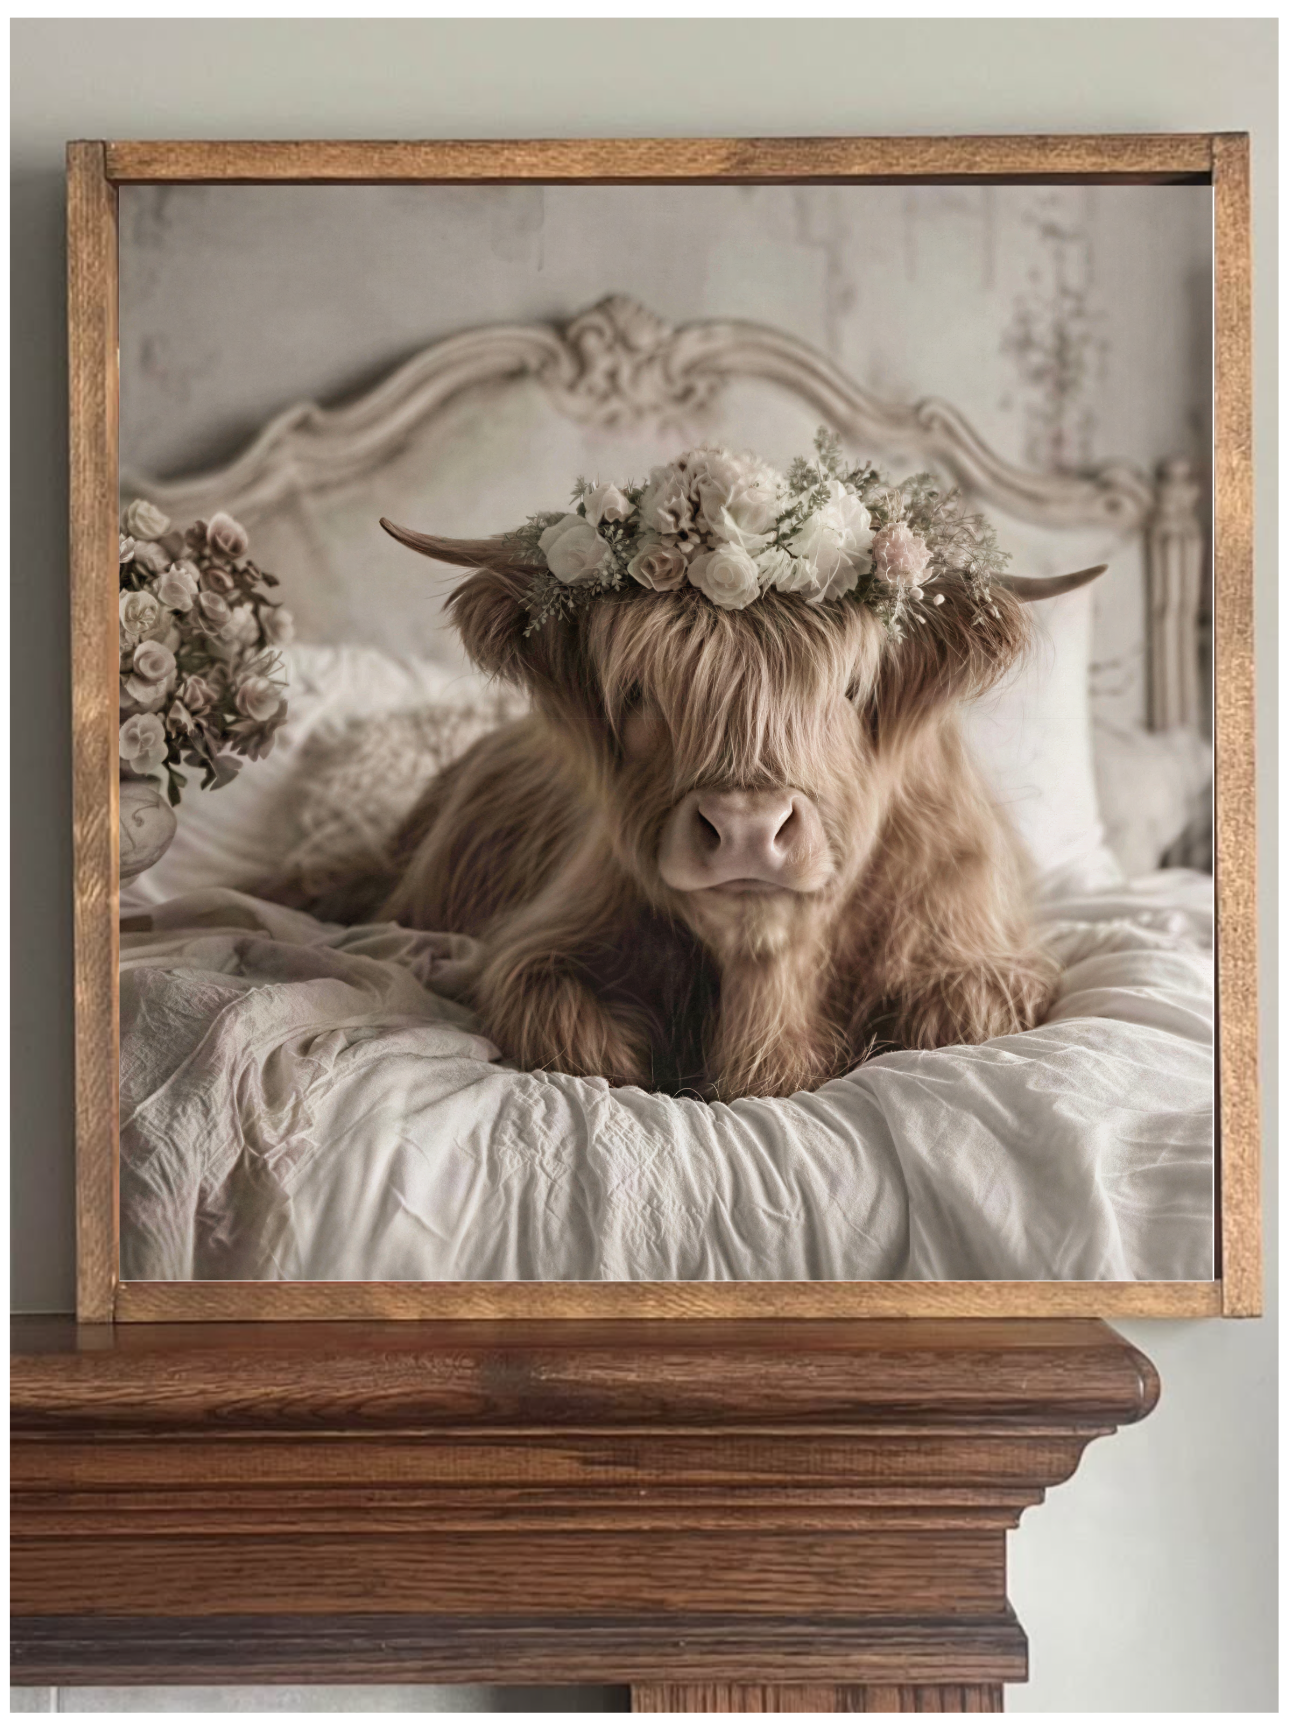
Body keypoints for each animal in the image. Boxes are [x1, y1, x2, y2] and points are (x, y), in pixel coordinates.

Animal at [268, 505, 1103, 1103]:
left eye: (850, 687)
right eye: (641, 690)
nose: (746, 828)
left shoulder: (985, 961)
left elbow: (953, 1018)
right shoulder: (541, 947)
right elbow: (571, 1029)